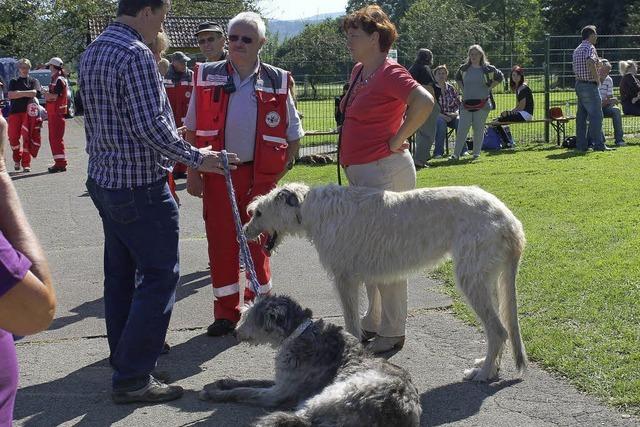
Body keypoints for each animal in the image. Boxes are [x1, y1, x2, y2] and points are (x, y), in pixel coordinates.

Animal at [199, 296, 420, 427]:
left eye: (248, 316)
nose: (235, 333)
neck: (298, 332)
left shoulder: (278, 393)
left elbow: (244, 391)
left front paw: (215, 394)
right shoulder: (284, 380)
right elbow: (250, 382)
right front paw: (224, 382)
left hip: (331, 394)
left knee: (297, 417)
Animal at [244, 182, 524, 382]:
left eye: (258, 212)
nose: (245, 231)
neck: (310, 209)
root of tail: (512, 222)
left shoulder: (345, 279)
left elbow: (351, 321)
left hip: (472, 279)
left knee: (499, 330)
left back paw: (483, 373)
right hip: (488, 279)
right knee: (499, 327)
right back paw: (489, 367)